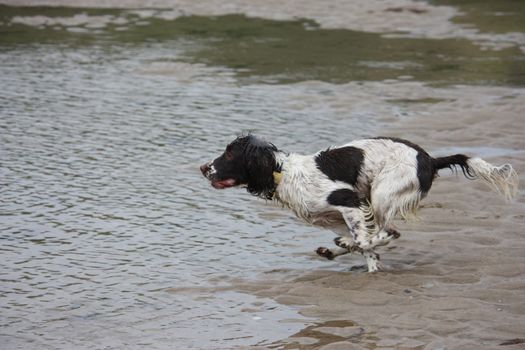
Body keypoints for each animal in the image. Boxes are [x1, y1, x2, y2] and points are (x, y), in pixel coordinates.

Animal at [200, 135, 516, 272]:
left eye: (230, 154)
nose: (203, 167)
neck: (284, 173)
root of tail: (429, 159)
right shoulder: (342, 215)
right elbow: (367, 247)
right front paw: (363, 264)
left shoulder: (348, 200)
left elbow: (367, 242)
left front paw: (349, 248)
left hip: (382, 193)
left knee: (390, 232)